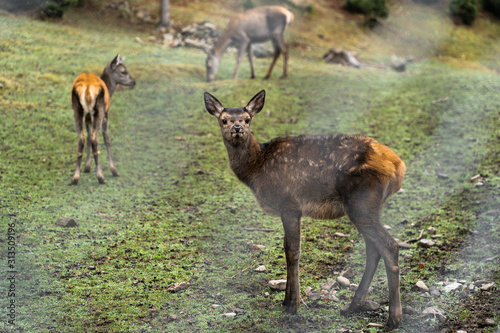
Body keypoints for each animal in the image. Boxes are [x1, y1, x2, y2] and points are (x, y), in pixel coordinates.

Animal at [69, 54, 135, 184]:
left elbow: (88, 138)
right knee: (95, 139)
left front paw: (87, 167)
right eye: (123, 71)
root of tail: (87, 88)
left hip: (78, 111)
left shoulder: (88, 119)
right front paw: (114, 170)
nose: (133, 82)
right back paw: (101, 176)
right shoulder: (106, 115)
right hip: (99, 111)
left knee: (82, 138)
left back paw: (75, 177)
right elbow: (107, 139)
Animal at [203, 89, 406, 328]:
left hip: (361, 203)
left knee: (389, 246)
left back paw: (393, 318)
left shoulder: (289, 204)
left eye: (247, 119)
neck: (257, 169)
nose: (237, 128)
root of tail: (398, 166)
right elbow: (286, 249)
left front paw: (293, 305)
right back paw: (353, 306)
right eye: (224, 120)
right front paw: (285, 301)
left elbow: (293, 251)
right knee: (373, 249)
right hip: (369, 207)